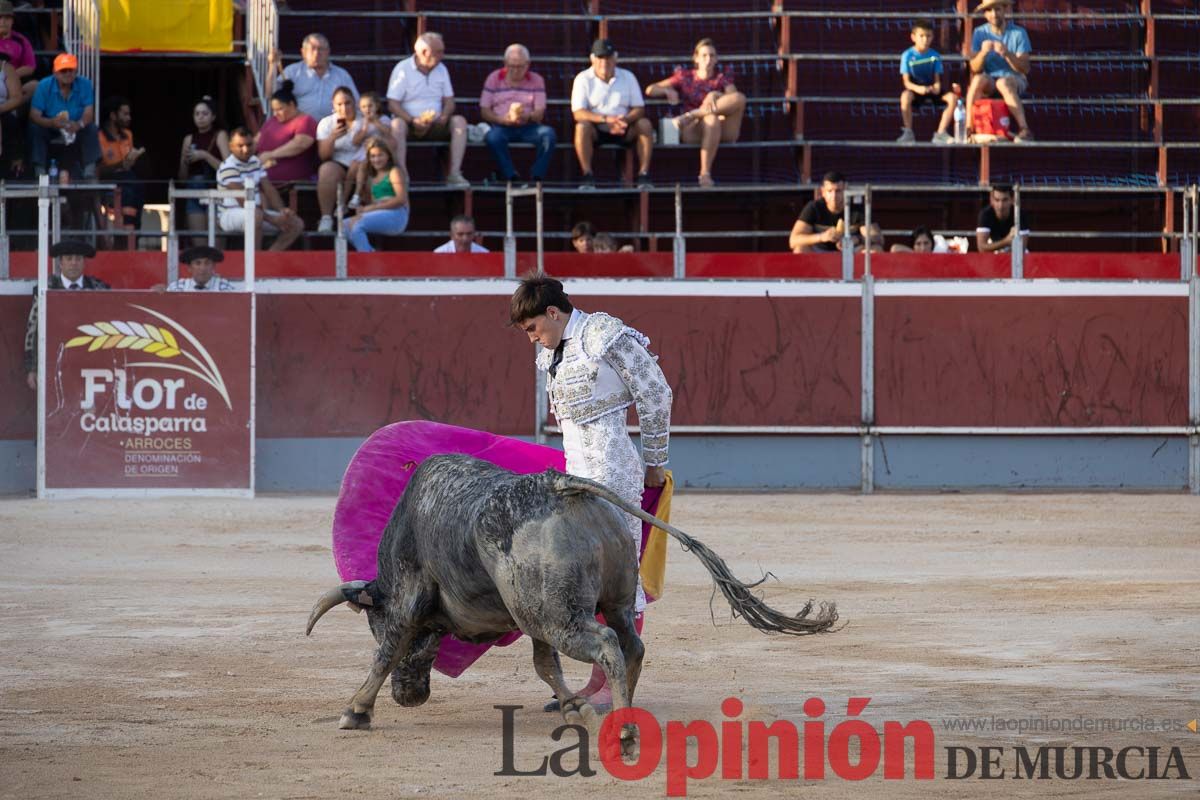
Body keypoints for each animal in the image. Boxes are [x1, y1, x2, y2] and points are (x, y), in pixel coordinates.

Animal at [309, 455, 835, 743]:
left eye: (371, 623)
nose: (411, 696)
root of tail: (560, 485)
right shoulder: (530, 622)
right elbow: (545, 665)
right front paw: (572, 706)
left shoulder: (409, 597)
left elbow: (387, 651)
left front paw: (355, 712)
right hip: (591, 602)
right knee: (630, 644)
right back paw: (617, 712)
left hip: (559, 615)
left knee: (605, 643)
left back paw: (623, 730)